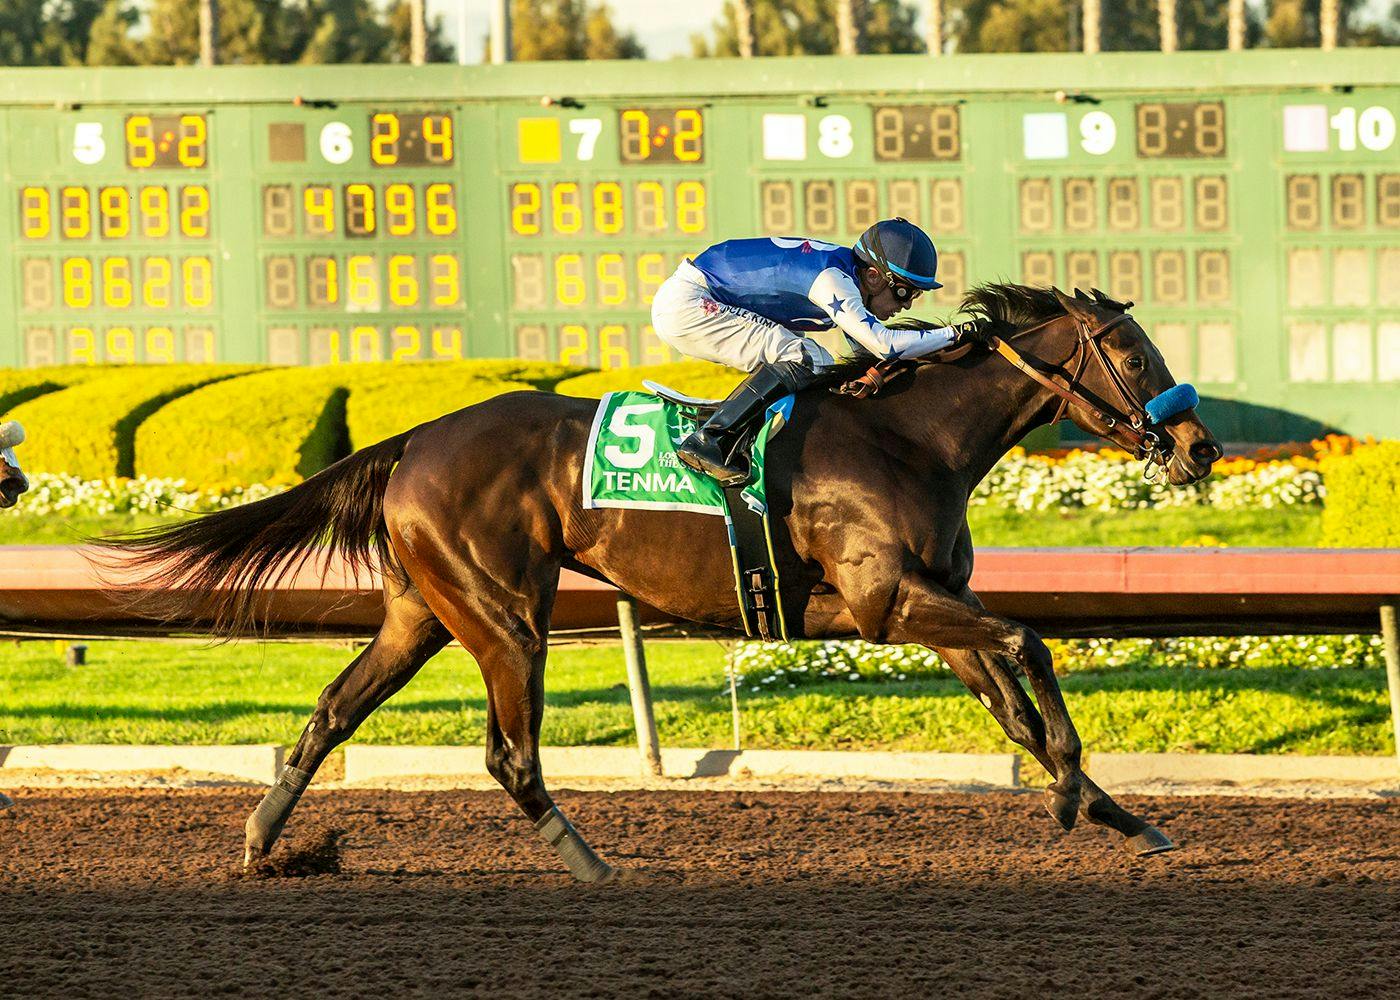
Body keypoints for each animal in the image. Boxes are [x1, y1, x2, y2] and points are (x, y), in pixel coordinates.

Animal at [103, 282, 1220, 879]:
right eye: (1131, 352)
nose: (1200, 446)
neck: (908, 436)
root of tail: (417, 436)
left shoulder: (930, 609)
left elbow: (1014, 707)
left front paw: (1118, 814)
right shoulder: (886, 602)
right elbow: (1032, 644)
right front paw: (1074, 792)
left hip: (424, 609)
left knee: (334, 707)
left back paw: (262, 840)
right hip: (505, 615)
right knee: (508, 753)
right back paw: (591, 863)